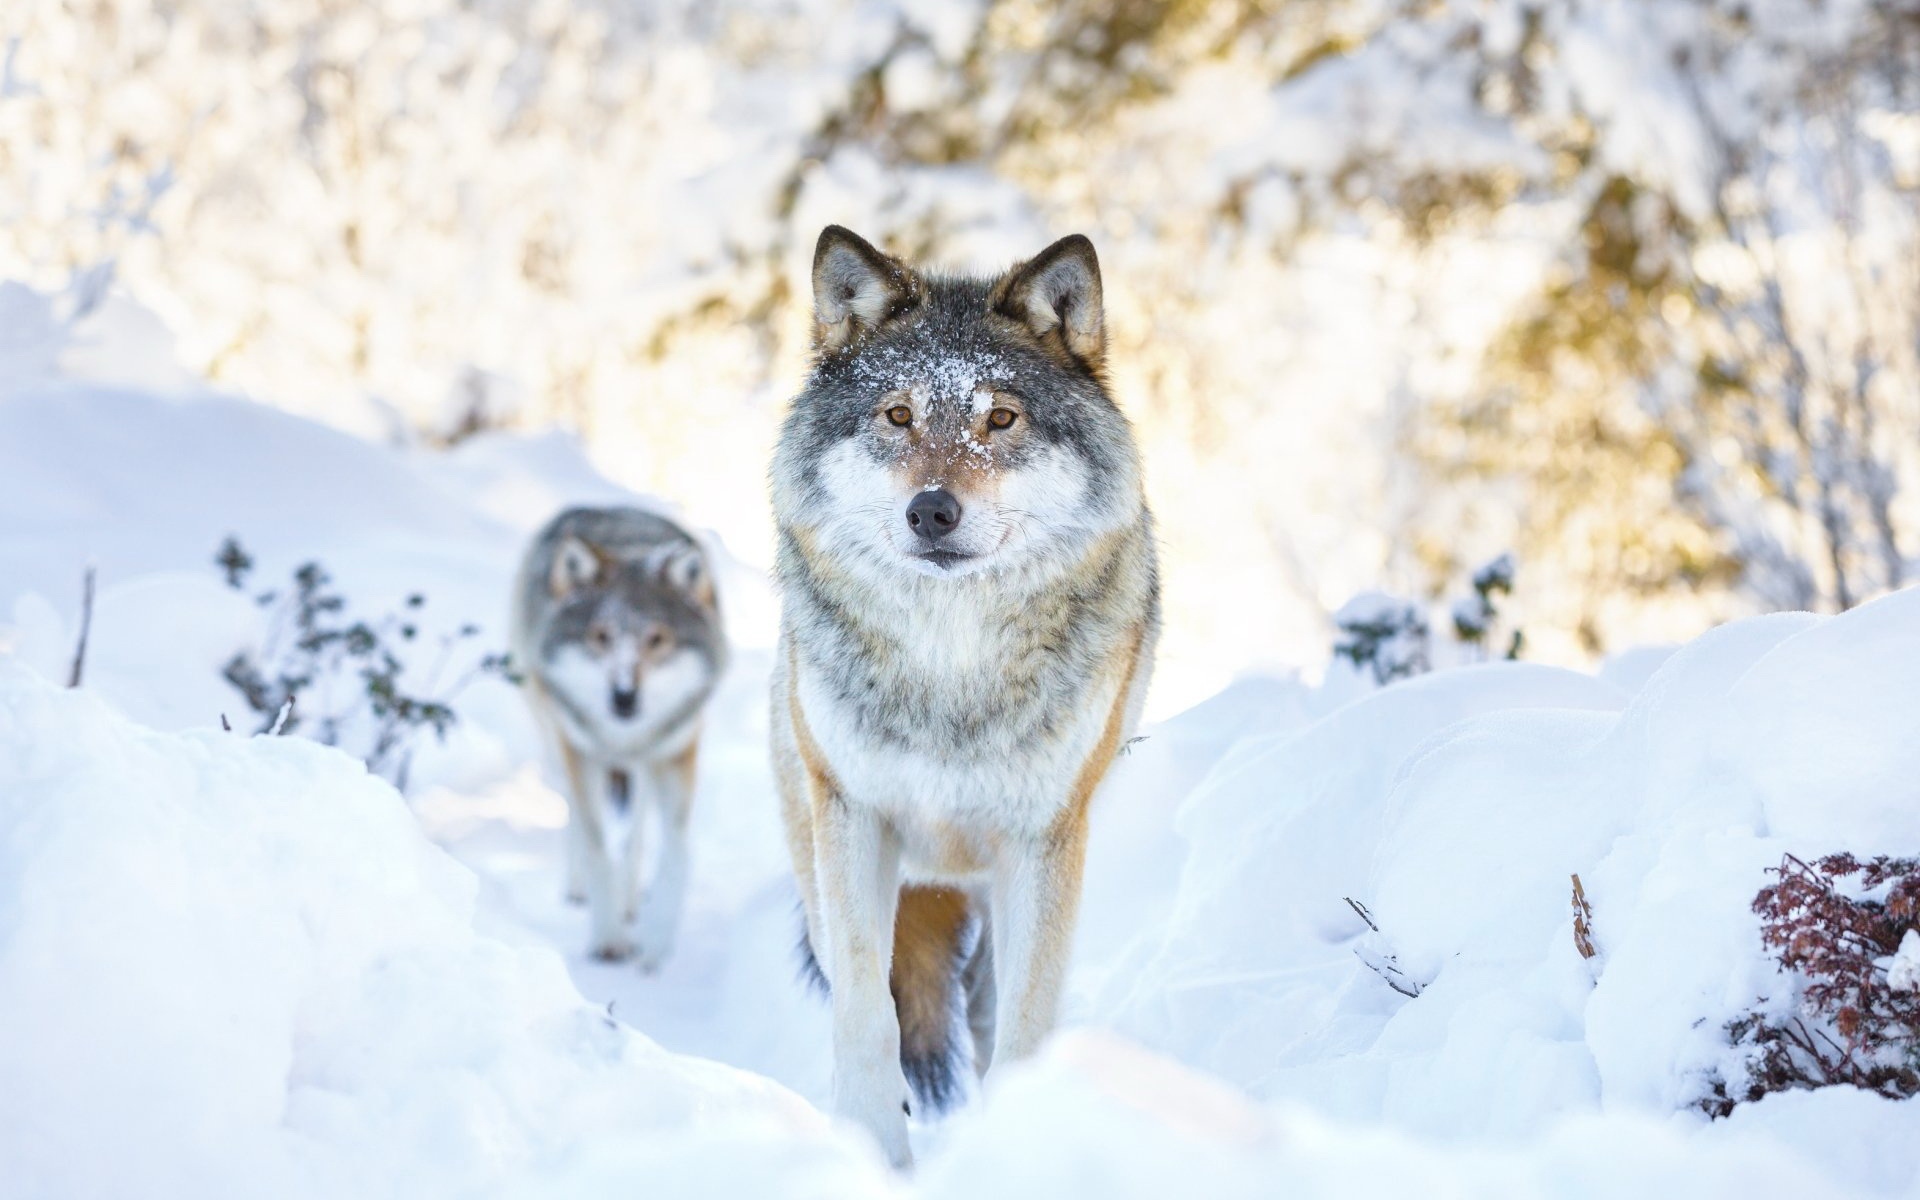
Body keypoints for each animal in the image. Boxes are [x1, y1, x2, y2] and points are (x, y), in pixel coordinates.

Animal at [510, 503, 725, 963]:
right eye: (601, 636)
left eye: (657, 638)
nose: (623, 698)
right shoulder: (581, 751)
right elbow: (596, 847)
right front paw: (608, 937)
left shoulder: (675, 751)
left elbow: (677, 851)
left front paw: (657, 939)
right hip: (556, 741)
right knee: (575, 814)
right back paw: (579, 888)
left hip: (644, 765)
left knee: (637, 830)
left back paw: (630, 899)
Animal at [771, 224, 1159, 1159]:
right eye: (898, 415)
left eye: (1001, 418)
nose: (932, 511)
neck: (950, 666)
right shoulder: (855, 820)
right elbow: (867, 1017)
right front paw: (873, 1153)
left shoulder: (1045, 840)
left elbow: (1022, 1025)